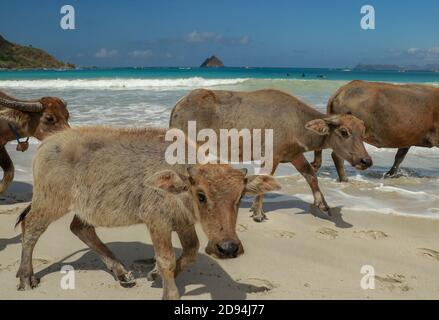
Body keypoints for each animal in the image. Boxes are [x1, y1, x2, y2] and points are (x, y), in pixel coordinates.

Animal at [16, 125, 282, 300]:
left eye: (240, 197)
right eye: (201, 195)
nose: (228, 248)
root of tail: (48, 143)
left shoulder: (183, 223)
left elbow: (190, 252)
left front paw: (154, 276)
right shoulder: (158, 222)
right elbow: (166, 259)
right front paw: (169, 291)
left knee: (80, 228)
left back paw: (122, 274)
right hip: (49, 202)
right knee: (31, 228)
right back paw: (26, 276)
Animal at [168, 89, 372, 221]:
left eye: (363, 133)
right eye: (344, 132)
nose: (366, 160)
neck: (298, 123)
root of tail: (179, 104)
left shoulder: (295, 155)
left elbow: (311, 175)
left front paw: (322, 205)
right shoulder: (271, 156)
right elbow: (264, 179)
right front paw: (258, 213)